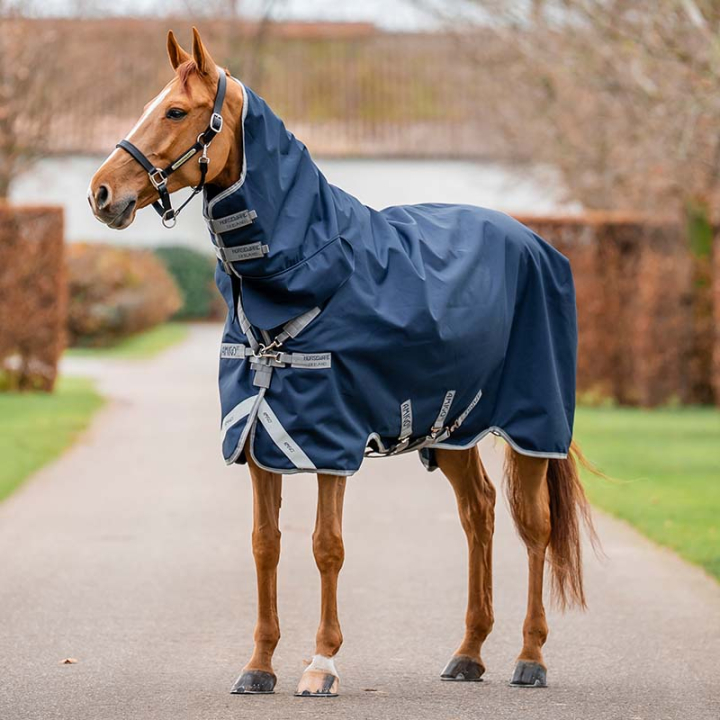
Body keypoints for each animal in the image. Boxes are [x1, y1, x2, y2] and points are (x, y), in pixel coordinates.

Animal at [88, 27, 597, 697]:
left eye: (175, 112)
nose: (100, 194)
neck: (312, 270)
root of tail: (538, 245)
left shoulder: (330, 438)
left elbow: (326, 545)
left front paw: (320, 664)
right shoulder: (260, 437)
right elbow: (265, 545)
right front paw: (258, 666)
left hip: (533, 424)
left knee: (533, 526)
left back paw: (530, 657)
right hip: (452, 428)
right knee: (479, 514)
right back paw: (468, 653)